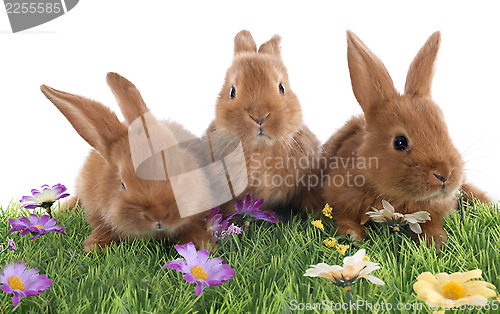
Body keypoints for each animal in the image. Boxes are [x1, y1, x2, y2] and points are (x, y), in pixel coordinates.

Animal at [320, 30, 484, 250]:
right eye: (400, 142)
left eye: (445, 131)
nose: (445, 174)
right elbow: (345, 219)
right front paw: (353, 238)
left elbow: (431, 225)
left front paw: (437, 243)